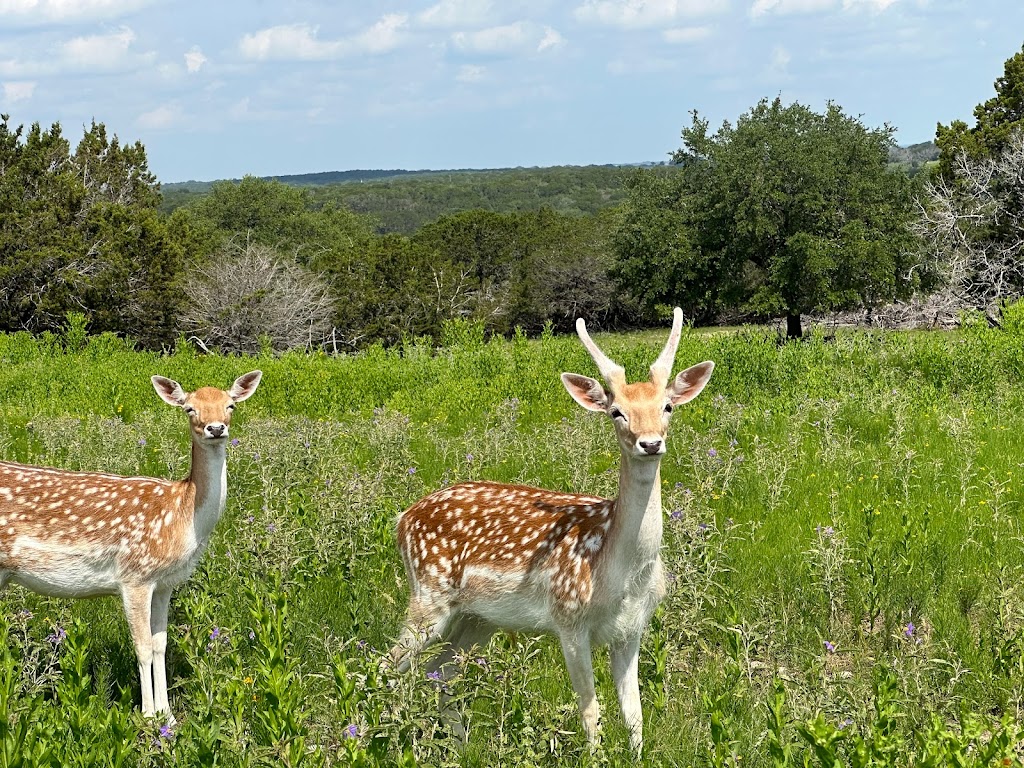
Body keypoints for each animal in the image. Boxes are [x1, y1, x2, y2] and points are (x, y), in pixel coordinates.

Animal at [0, 370, 262, 720]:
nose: (216, 428)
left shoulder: (165, 583)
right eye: (189, 408)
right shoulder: (135, 575)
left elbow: (161, 644)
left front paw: (169, 717)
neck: (181, 514)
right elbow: (143, 647)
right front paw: (149, 717)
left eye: (230, 405)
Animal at [391, 309, 712, 753]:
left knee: (440, 673)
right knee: (388, 666)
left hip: (478, 618)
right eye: (616, 411)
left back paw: (459, 745)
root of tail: (402, 518)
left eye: (667, 406)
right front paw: (595, 757)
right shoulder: (568, 618)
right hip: (428, 595)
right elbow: (590, 711)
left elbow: (635, 716)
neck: (621, 574)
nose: (649, 443)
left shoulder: (632, 628)